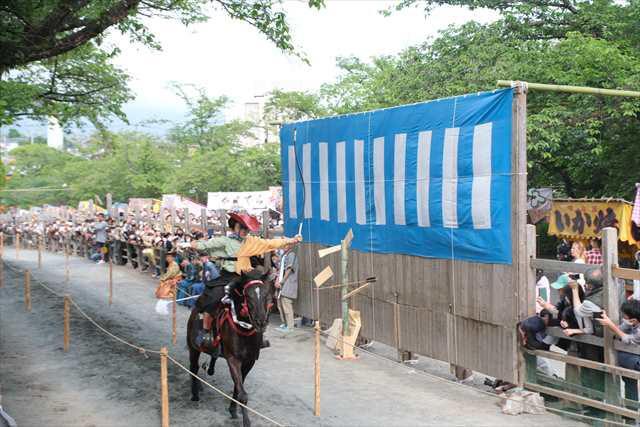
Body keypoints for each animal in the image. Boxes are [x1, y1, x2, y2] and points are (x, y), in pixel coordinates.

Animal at [186, 270, 274, 427]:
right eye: (248, 296)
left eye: (266, 296)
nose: (260, 322)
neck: (244, 330)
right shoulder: (233, 359)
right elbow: (242, 394)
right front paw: (246, 421)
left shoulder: (249, 361)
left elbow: (238, 387)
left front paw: (233, 410)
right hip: (193, 347)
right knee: (193, 367)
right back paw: (195, 394)